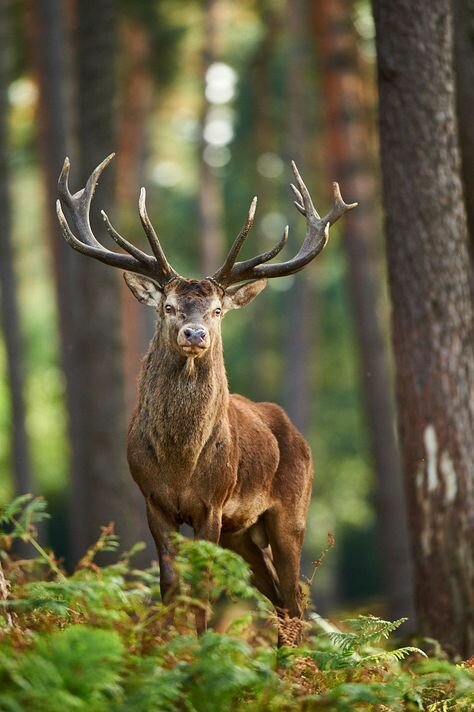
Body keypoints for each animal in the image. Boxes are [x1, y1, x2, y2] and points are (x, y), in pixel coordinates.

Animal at [56, 155, 356, 644]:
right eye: (168, 307)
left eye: (217, 310)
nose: (194, 334)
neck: (180, 463)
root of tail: (295, 431)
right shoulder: (153, 500)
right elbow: (170, 583)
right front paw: (166, 646)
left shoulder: (212, 505)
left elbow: (203, 586)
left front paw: (200, 650)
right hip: (243, 534)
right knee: (278, 598)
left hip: (291, 511)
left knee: (295, 597)